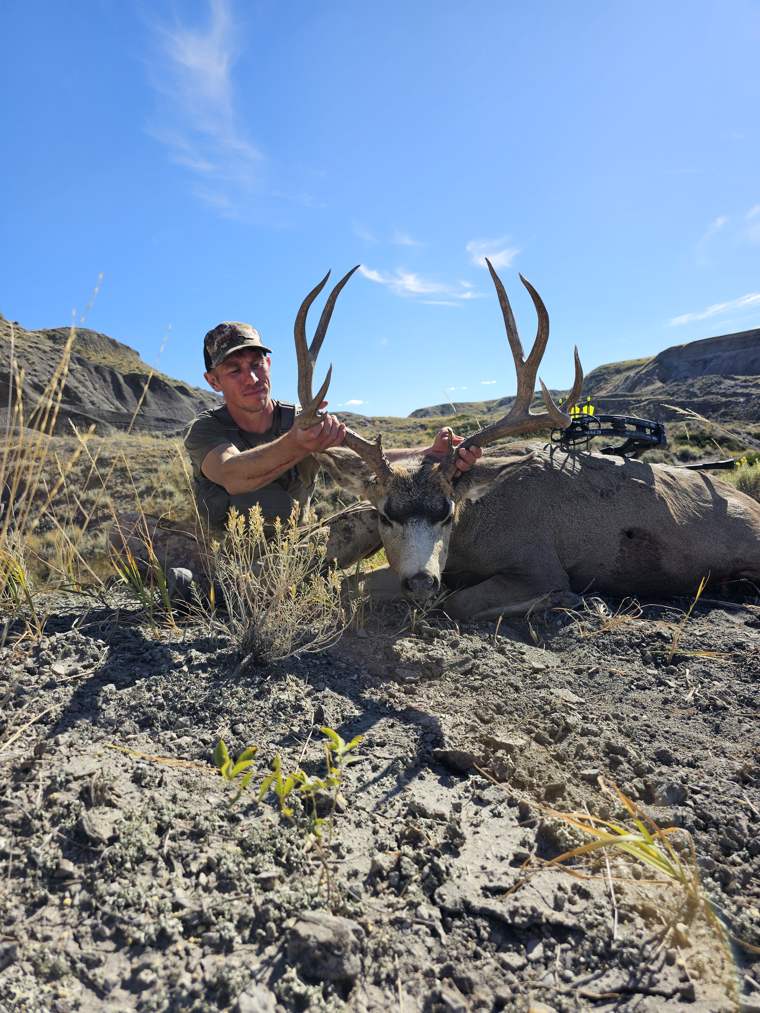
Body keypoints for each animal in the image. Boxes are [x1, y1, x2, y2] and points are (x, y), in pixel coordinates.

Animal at [294, 262, 760, 620]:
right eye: (385, 515)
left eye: (447, 513)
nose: (422, 582)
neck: (473, 531)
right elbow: (349, 585)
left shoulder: (538, 562)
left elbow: (460, 601)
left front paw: (570, 599)